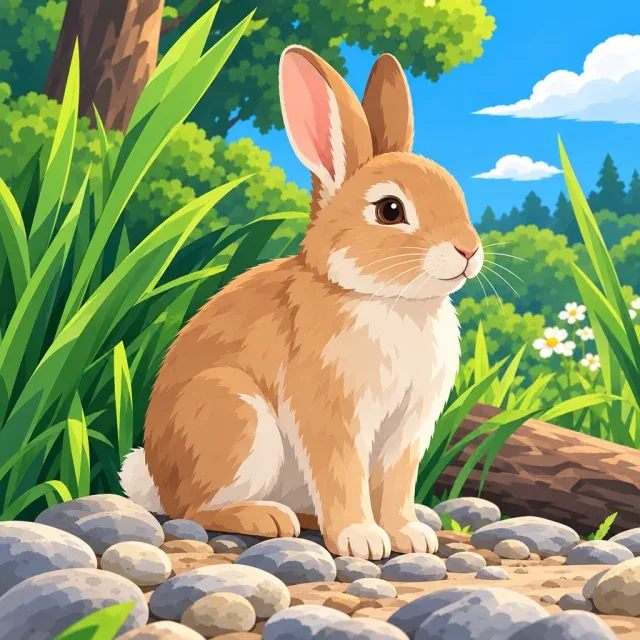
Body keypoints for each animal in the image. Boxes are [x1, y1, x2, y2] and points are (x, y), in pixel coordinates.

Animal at [120, 45, 484, 560]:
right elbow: (342, 475)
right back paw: (269, 519)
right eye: (390, 210)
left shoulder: (407, 432)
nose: (469, 250)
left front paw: (410, 536)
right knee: (193, 509)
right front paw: (362, 539)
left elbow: (397, 485)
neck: (383, 297)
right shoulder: (331, 414)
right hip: (237, 419)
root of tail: (153, 476)